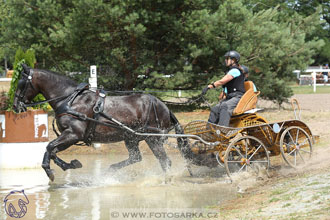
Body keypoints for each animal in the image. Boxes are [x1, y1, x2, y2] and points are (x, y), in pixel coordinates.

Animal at [13, 64, 219, 181]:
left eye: (20, 83)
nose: (15, 106)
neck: (70, 100)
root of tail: (165, 107)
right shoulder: (69, 136)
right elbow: (52, 150)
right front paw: (69, 165)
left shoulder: (72, 134)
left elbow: (49, 147)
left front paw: (53, 170)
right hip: (131, 137)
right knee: (136, 157)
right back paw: (111, 170)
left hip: (152, 138)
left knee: (164, 161)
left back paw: (165, 180)